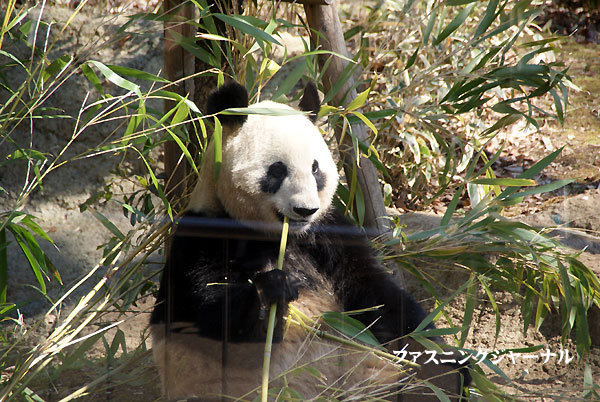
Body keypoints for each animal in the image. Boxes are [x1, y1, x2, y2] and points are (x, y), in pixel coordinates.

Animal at [149, 81, 468, 402]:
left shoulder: (329, 232)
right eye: (277, 170)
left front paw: (441, 361)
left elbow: (375, 294)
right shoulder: (202, 237)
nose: (305, 210)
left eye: (316, 168)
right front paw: (271, 292)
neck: (279, 236)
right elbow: (212, 330)